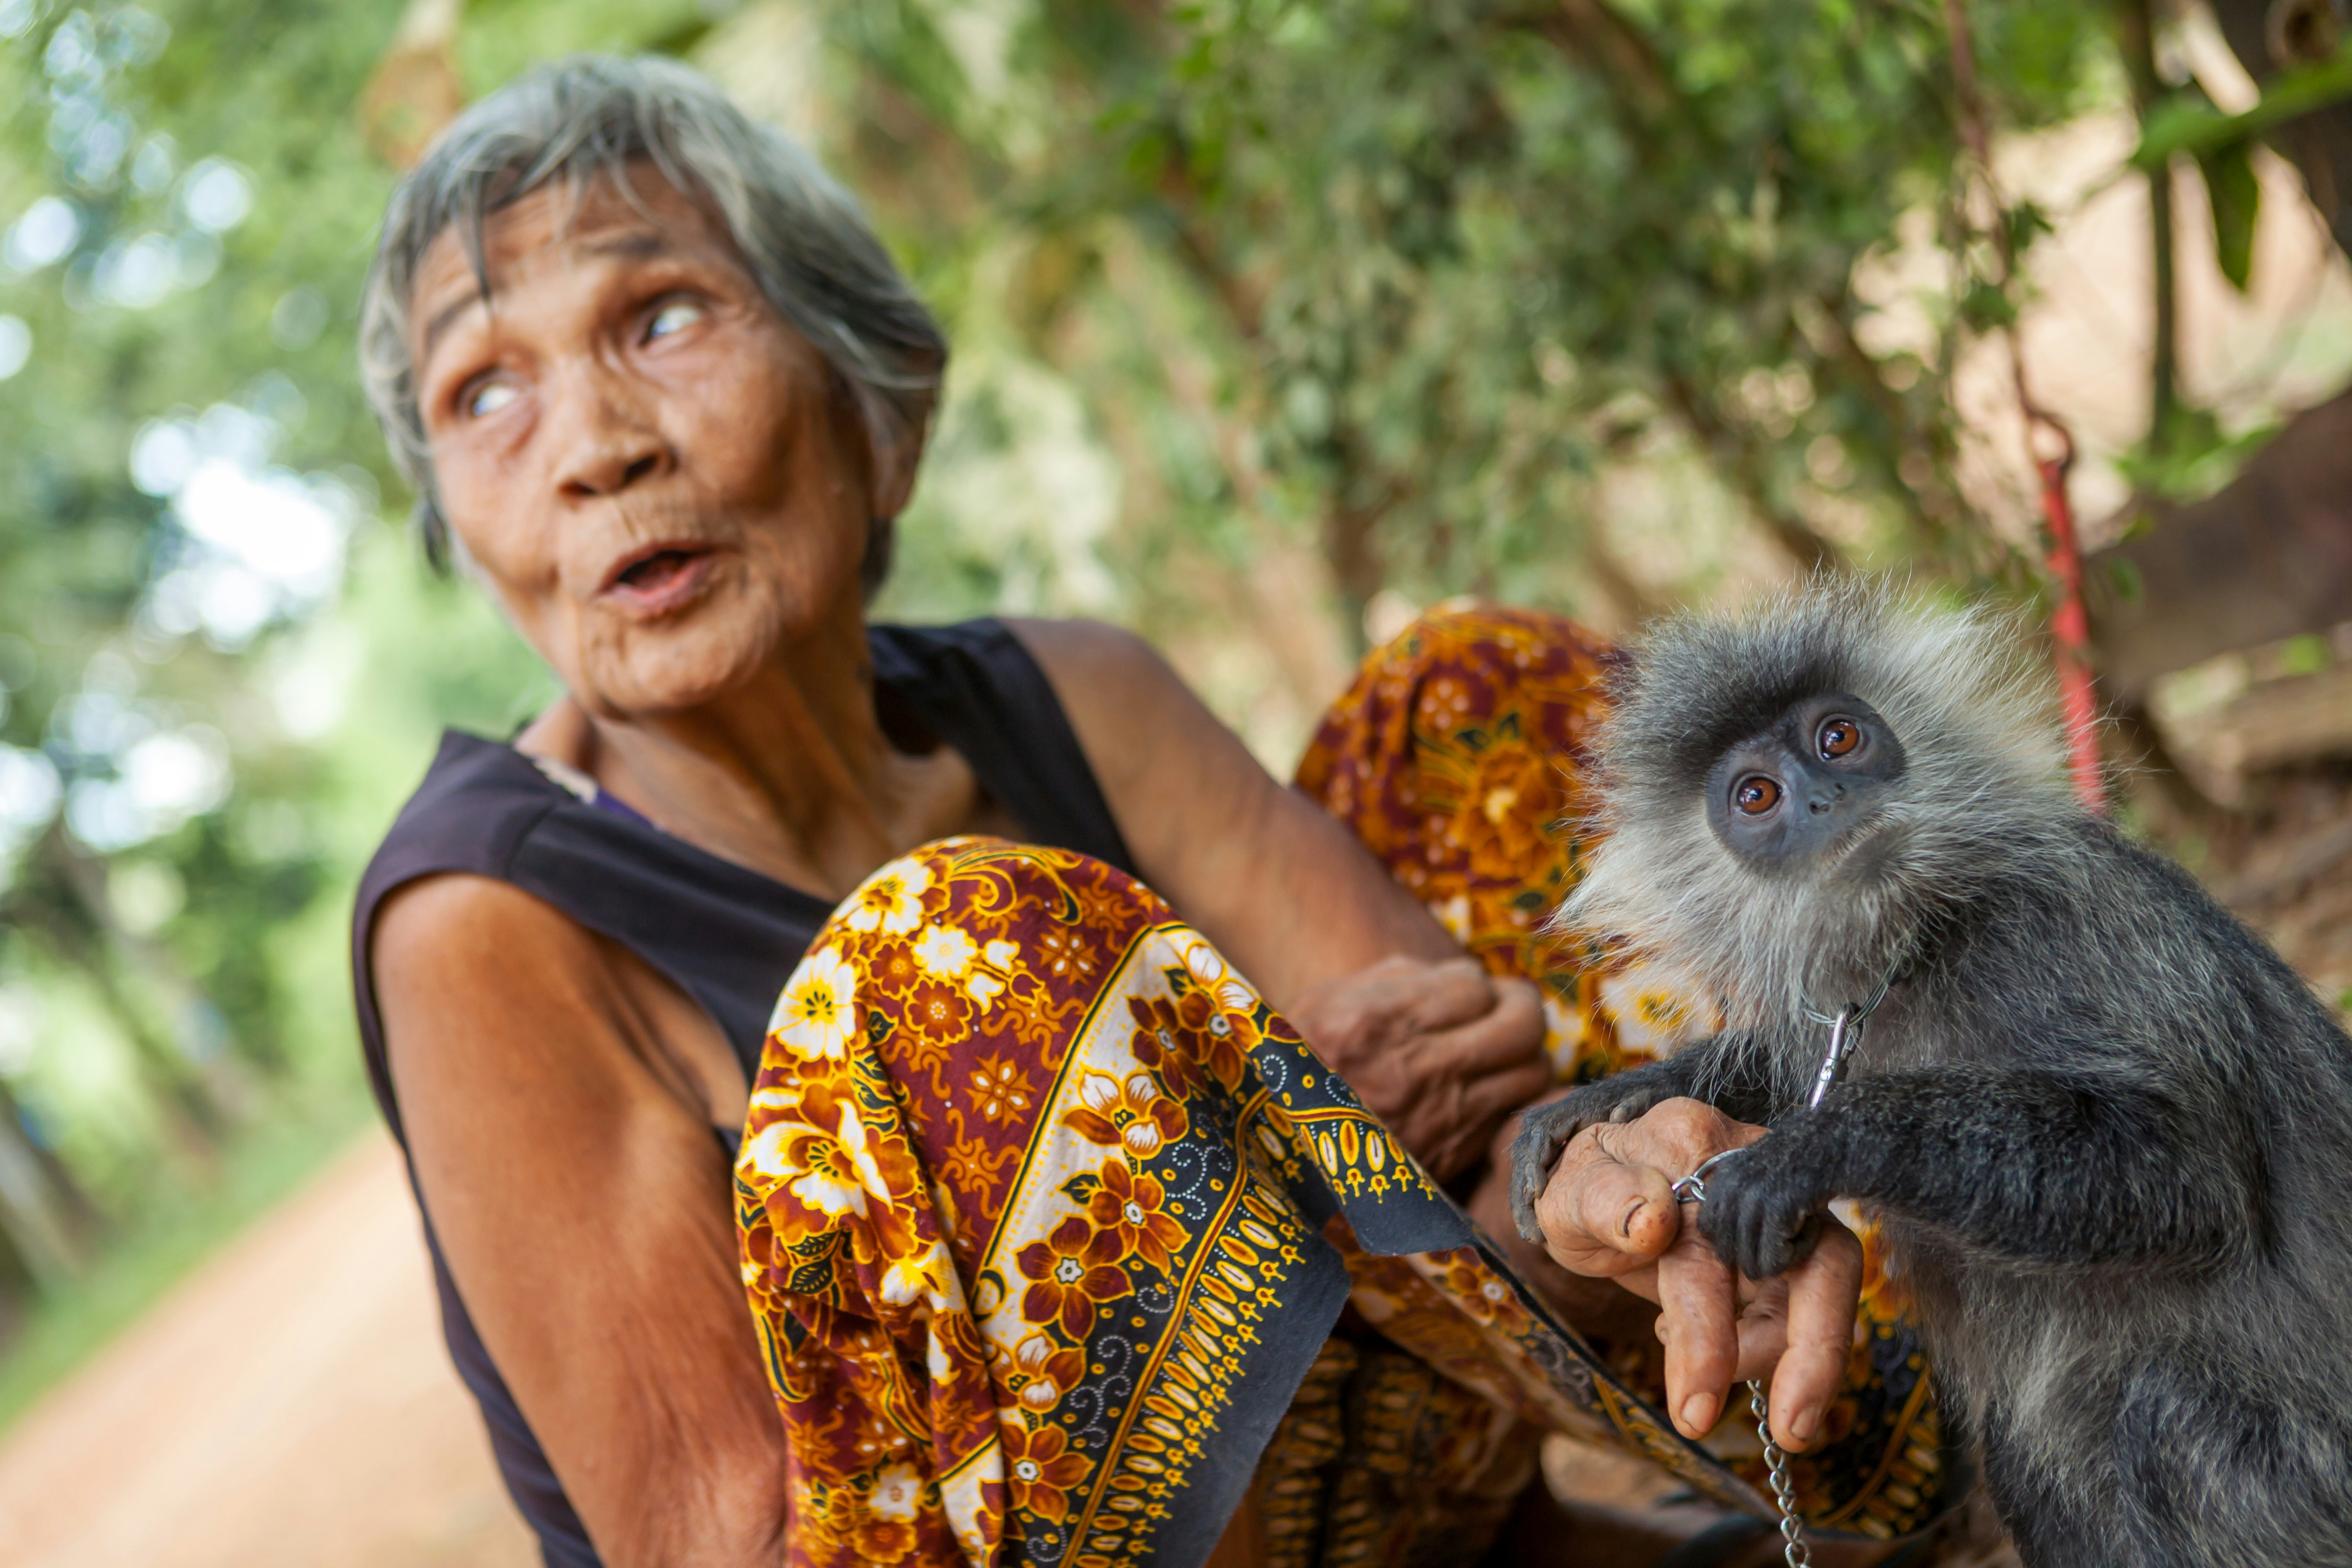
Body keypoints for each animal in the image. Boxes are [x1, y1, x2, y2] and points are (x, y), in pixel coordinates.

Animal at [1506, 582, 2352, 1568]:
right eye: (1756, 795)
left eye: (1838, 738)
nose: (1825, 799)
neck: (1923, 944)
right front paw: (1610, 1103)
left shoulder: (2073, 924)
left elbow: (2189, 1176)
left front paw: (1815, 1146)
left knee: (2156, 1420)